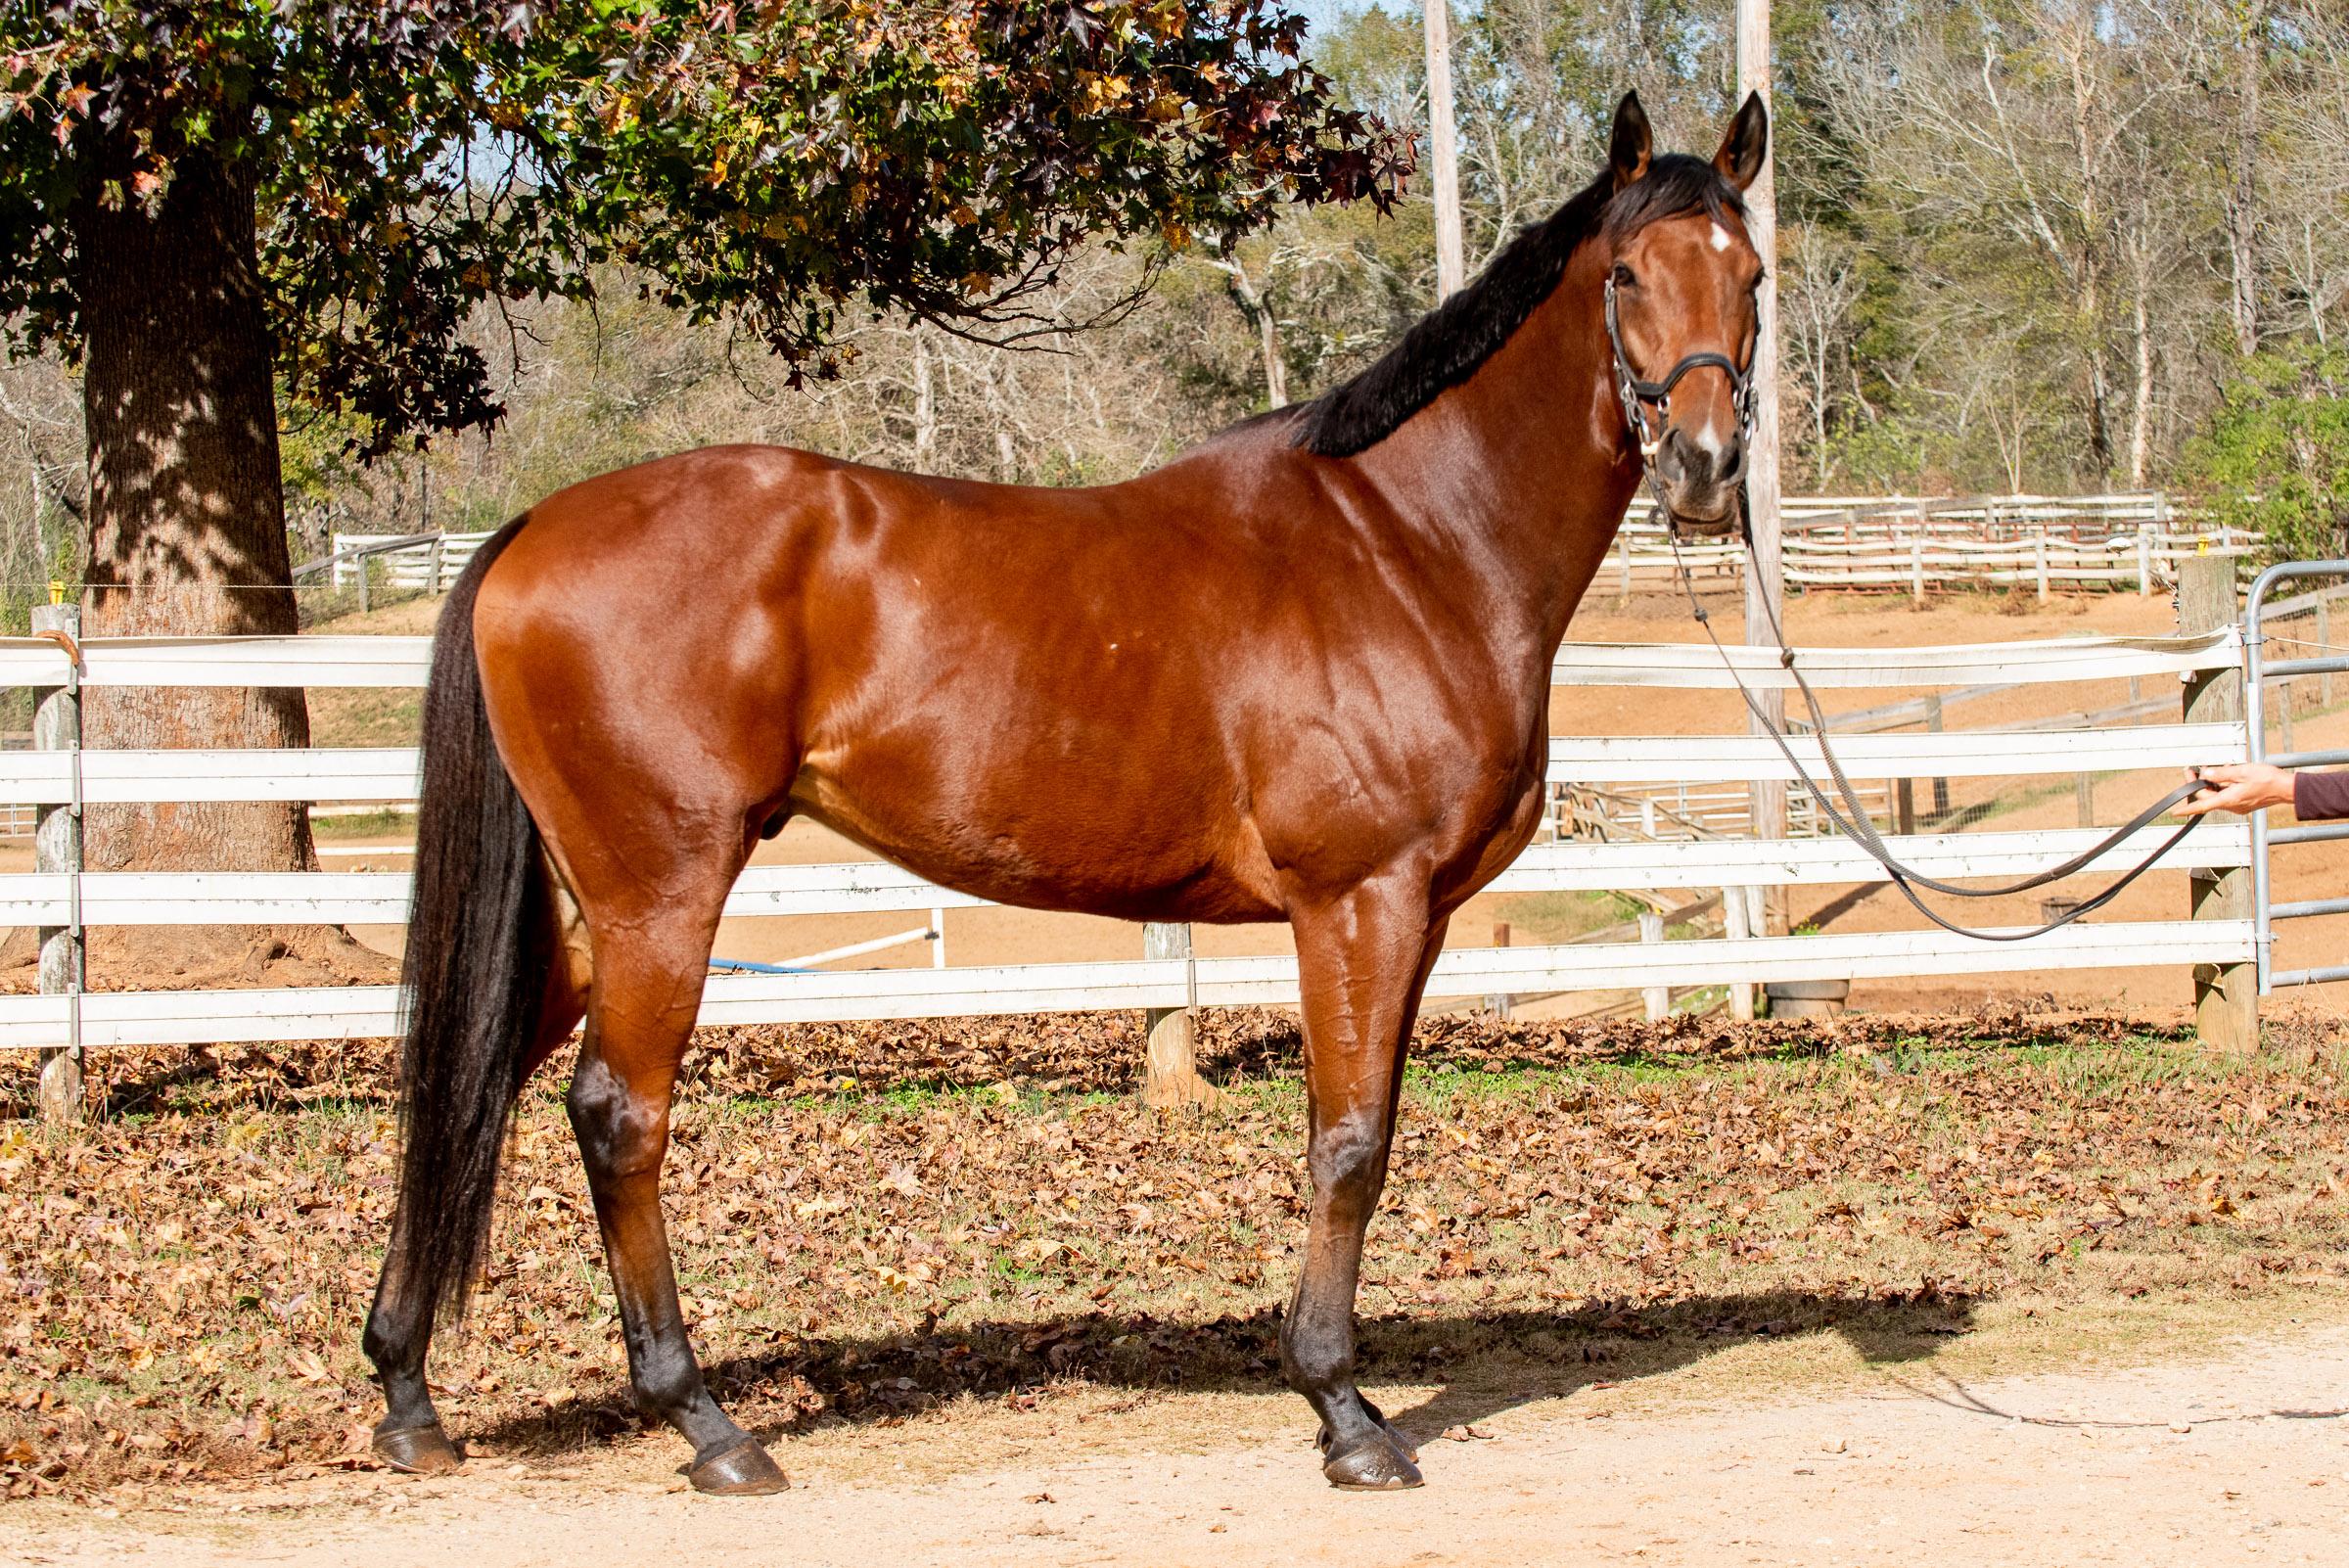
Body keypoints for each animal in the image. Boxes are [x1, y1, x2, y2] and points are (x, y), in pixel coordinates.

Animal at [364, 89, 1771, 1496]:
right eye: (1629, 274)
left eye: (1752, 273)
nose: (1704, 469)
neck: (1409, 543)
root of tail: (532, 529)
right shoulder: (1359, 902)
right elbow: (1348, 1141)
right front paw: (1343, 1411)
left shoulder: (1416, 918)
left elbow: (1363, 1131)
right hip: (661, 897)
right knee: (618, 1116)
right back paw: (707, 1425)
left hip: (578, 917)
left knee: (466, 1082)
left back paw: (408, 1394)